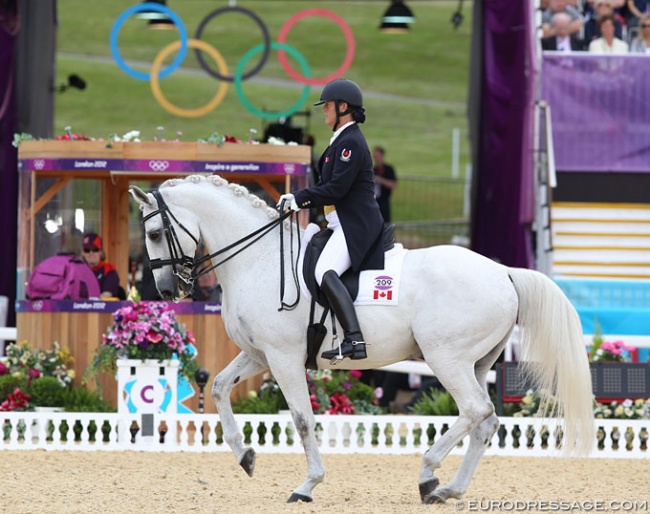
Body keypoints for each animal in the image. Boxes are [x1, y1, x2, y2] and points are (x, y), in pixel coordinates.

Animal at [129, 174, 596, 502]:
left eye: (153, 234)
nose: (168, 290)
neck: (258, 259)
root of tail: (503, 271)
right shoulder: (259, 354)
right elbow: (220, 387)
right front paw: (245, 456)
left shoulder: (282, 357)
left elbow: (301, 418)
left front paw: (307, 485)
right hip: (477, 363)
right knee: (487, 422)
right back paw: (449, 489)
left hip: (446, 359)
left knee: (475, 409)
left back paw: (428, 474)